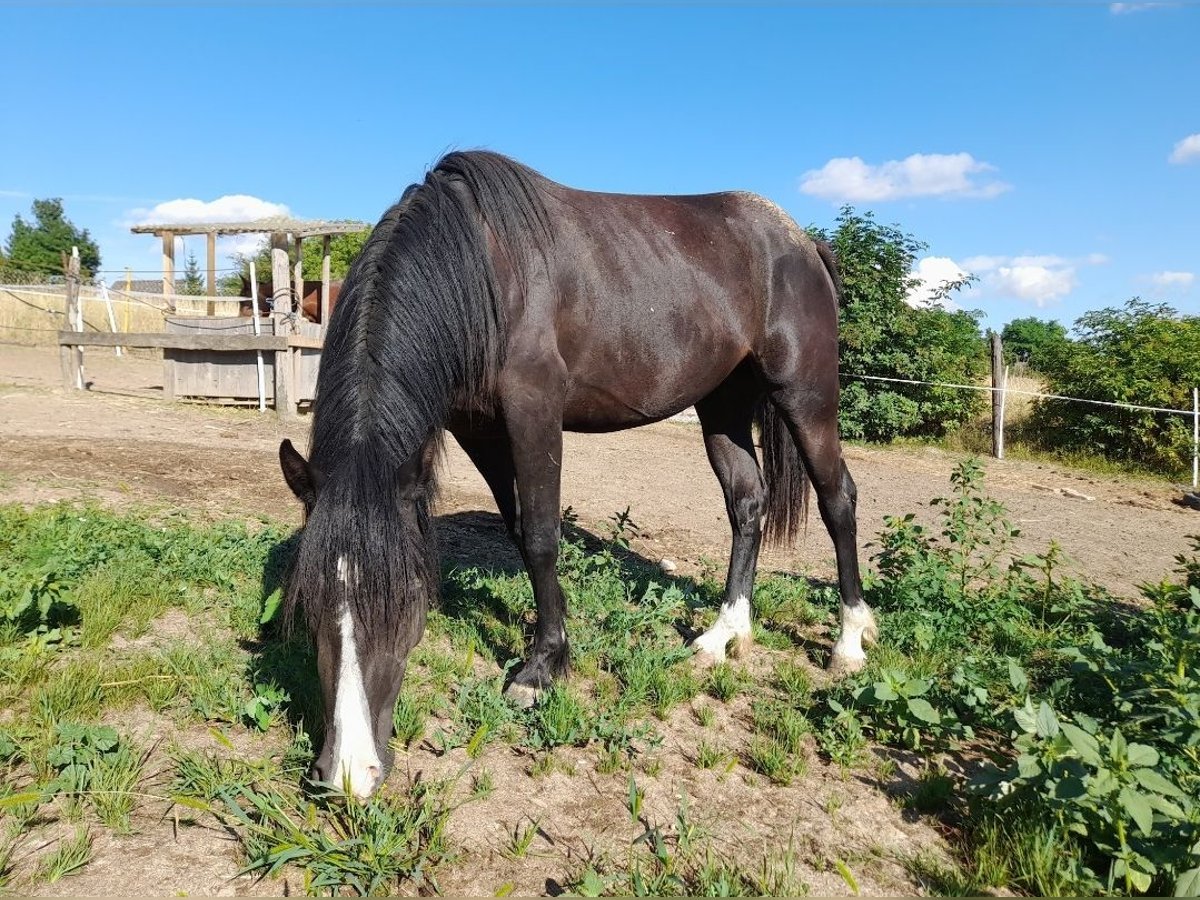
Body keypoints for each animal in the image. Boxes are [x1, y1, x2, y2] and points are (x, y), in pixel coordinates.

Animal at [280, 151, 878, 801]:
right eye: (309, 598)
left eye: (406, 598)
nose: (348, 774)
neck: (480, 268)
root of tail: (802, 241)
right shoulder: (478, 429)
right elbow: (521, 529)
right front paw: (559, 636)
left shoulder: (534, 409)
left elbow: (543, 535)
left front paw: (540, 668)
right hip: (723, 403)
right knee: (747, 503)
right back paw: (723, 633)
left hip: (805, 394)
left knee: (838, 499)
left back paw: (849, 640)